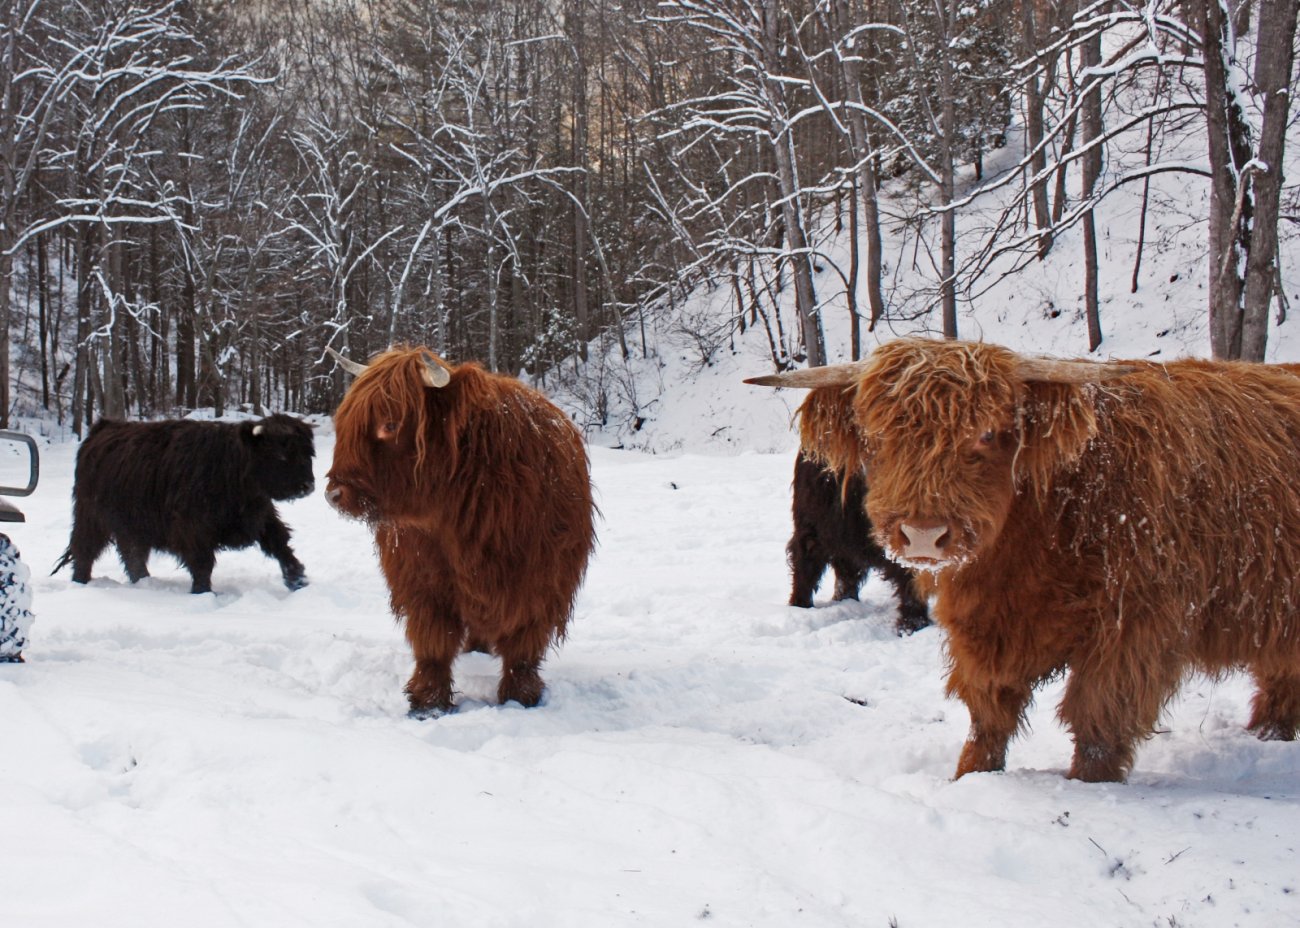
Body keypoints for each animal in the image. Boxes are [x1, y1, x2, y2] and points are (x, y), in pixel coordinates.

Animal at [51, 413, 317, 592]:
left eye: (308, 454)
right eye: (280, 456)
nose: (307, 486)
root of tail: (103, 427)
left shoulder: (261, 516)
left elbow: (280, 544)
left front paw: (298, 580)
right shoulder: (192, 528)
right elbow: (202, 562)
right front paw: (203, 593)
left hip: (133, 525)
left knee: (133, 554)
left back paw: (145, 581)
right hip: (91, 516)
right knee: (84, 550)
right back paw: (80, 583)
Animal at [322, 343, 595, 712]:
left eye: (390, 424)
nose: (335, 494)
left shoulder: (539, 579)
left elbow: (523, 645)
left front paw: (521, 695)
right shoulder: (422, 579)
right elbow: (433, 640)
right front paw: (428, 700)